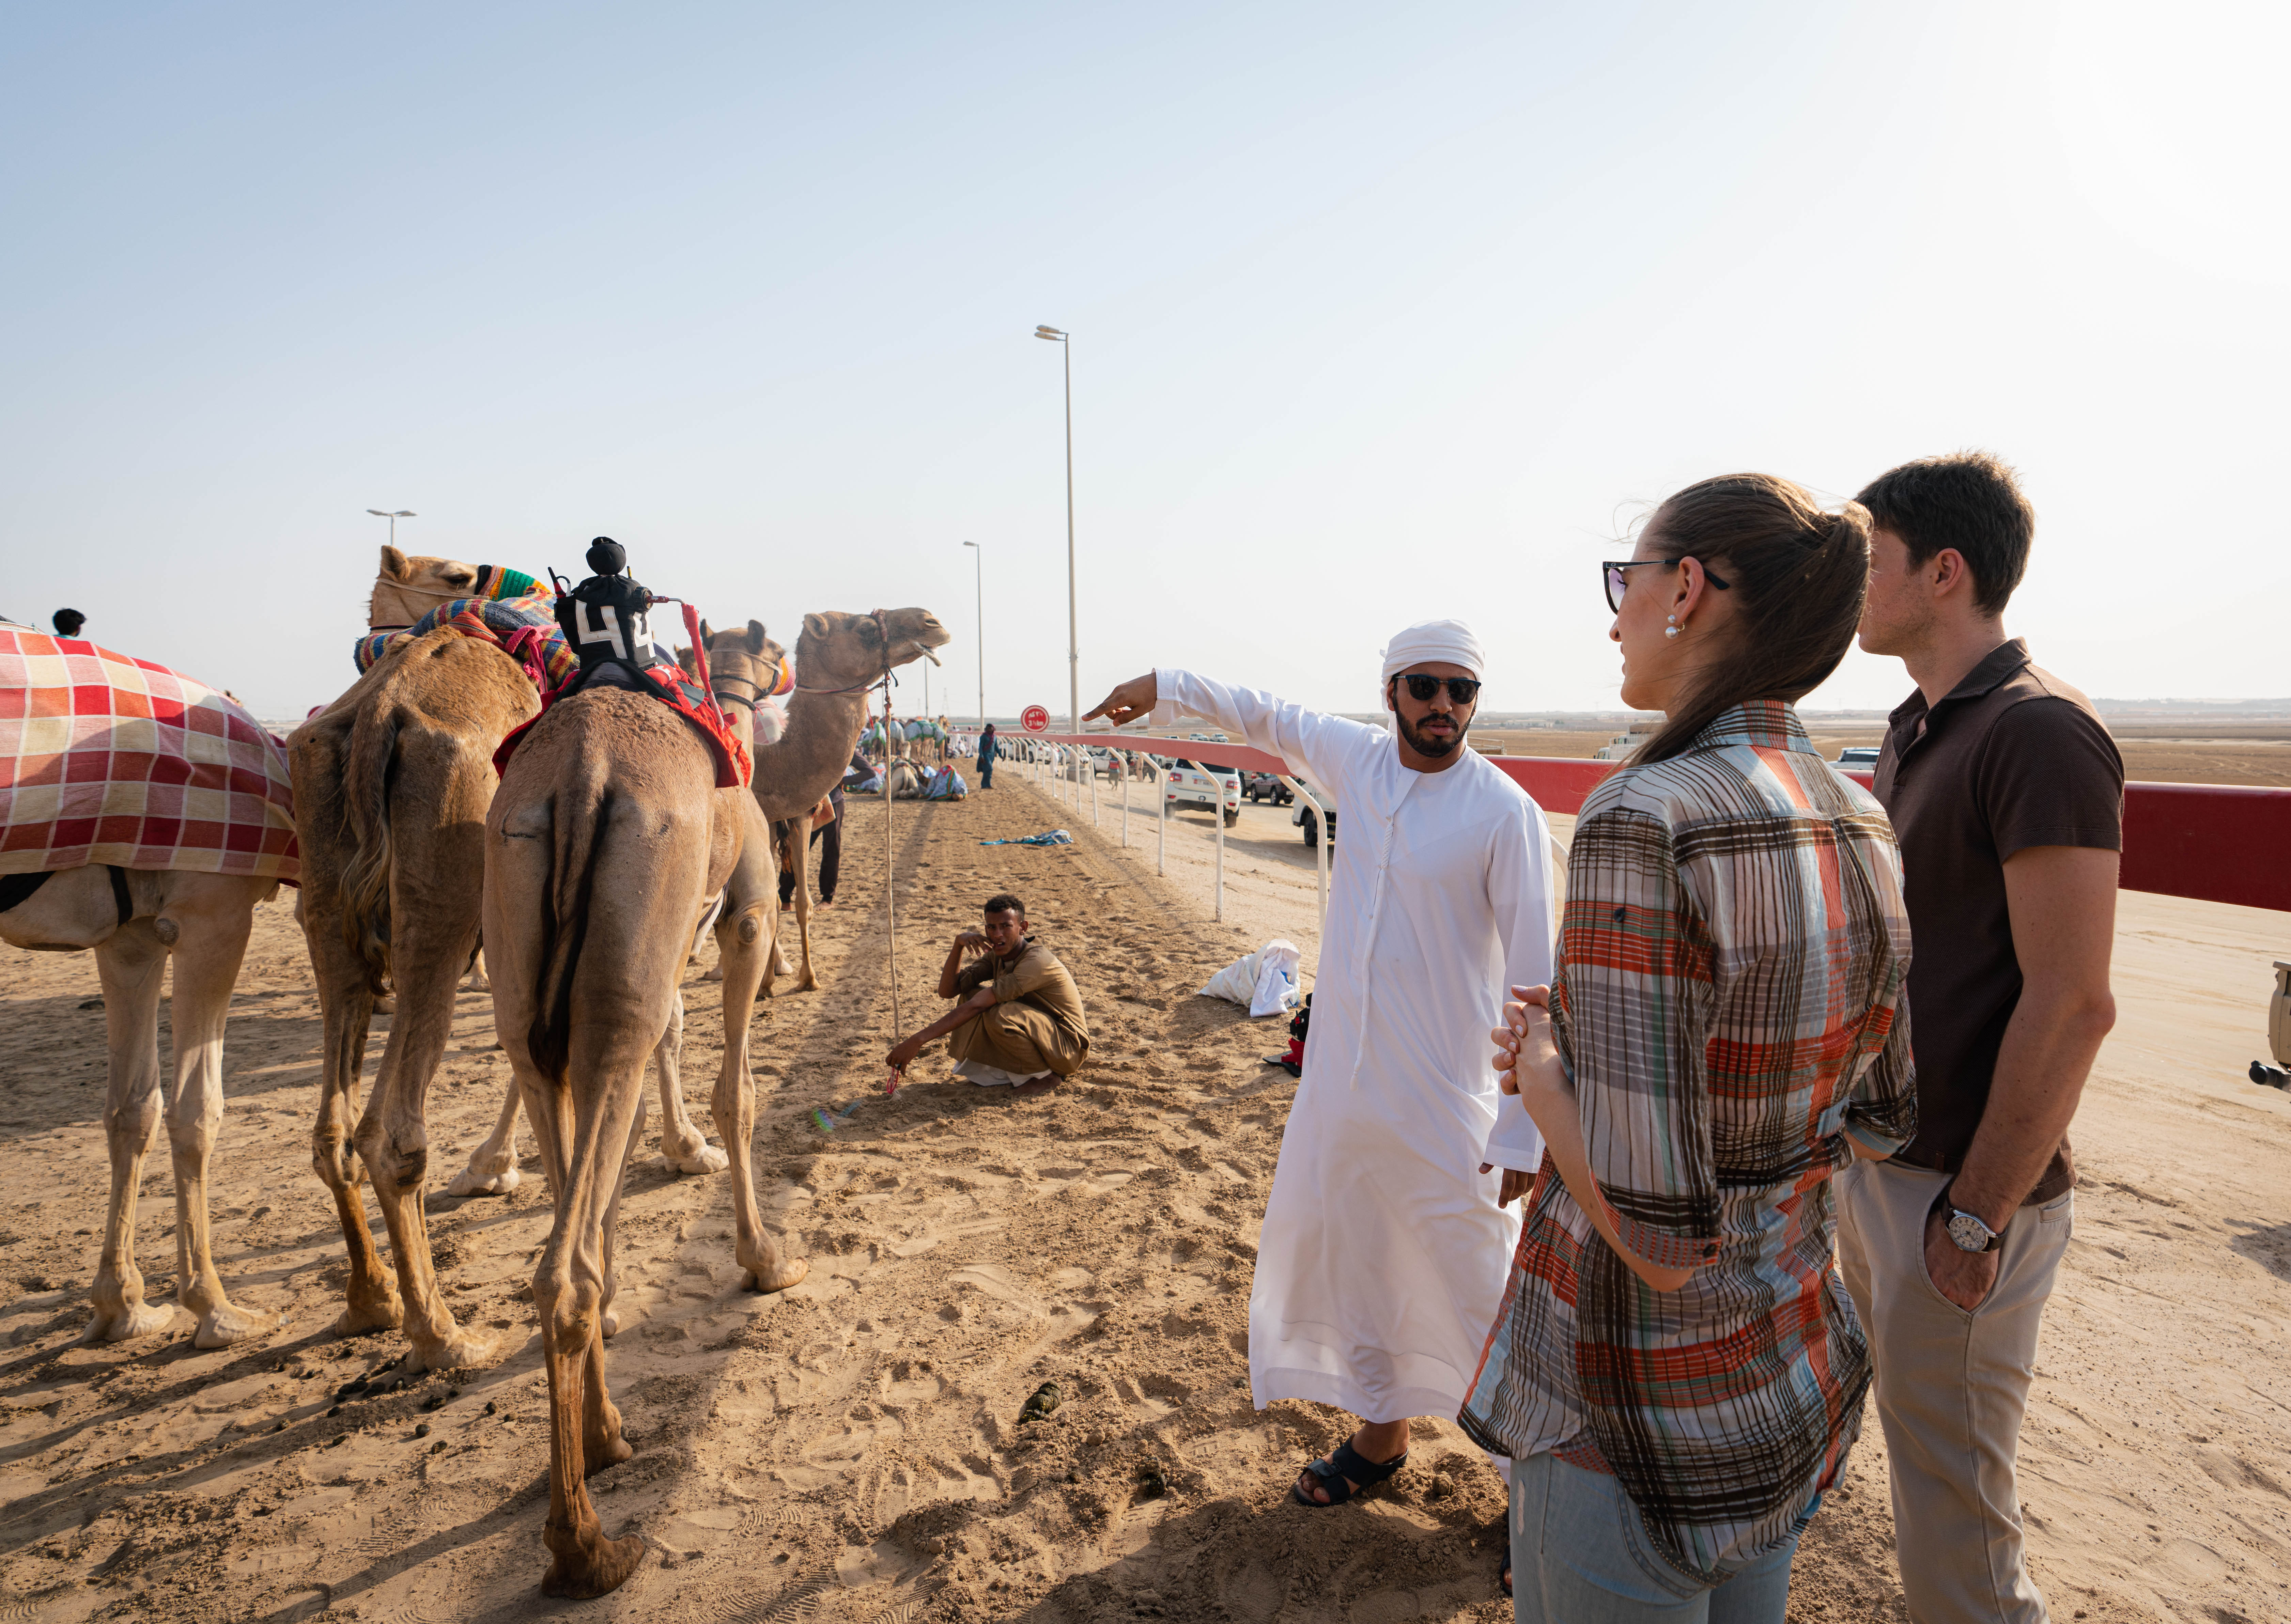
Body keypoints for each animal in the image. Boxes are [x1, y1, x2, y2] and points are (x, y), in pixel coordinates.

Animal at [1, 866, 278, 1347]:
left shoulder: (132, 933)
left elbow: (134, 1110)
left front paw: (123, 1308)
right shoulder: (210, 912)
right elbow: (196, 1109)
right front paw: (218, 1312)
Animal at [488, 605, 944, 1585]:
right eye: (859, 624)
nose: (927, 621)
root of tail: (579, 778)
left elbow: (630, 1127)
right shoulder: (741, 910)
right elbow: (738, 1090)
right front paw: (767, 1258)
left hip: (528, 954)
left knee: (558, 1124)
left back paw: (606, 1429)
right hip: (634, 927)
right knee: (562, 1264)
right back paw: (588, 1542)